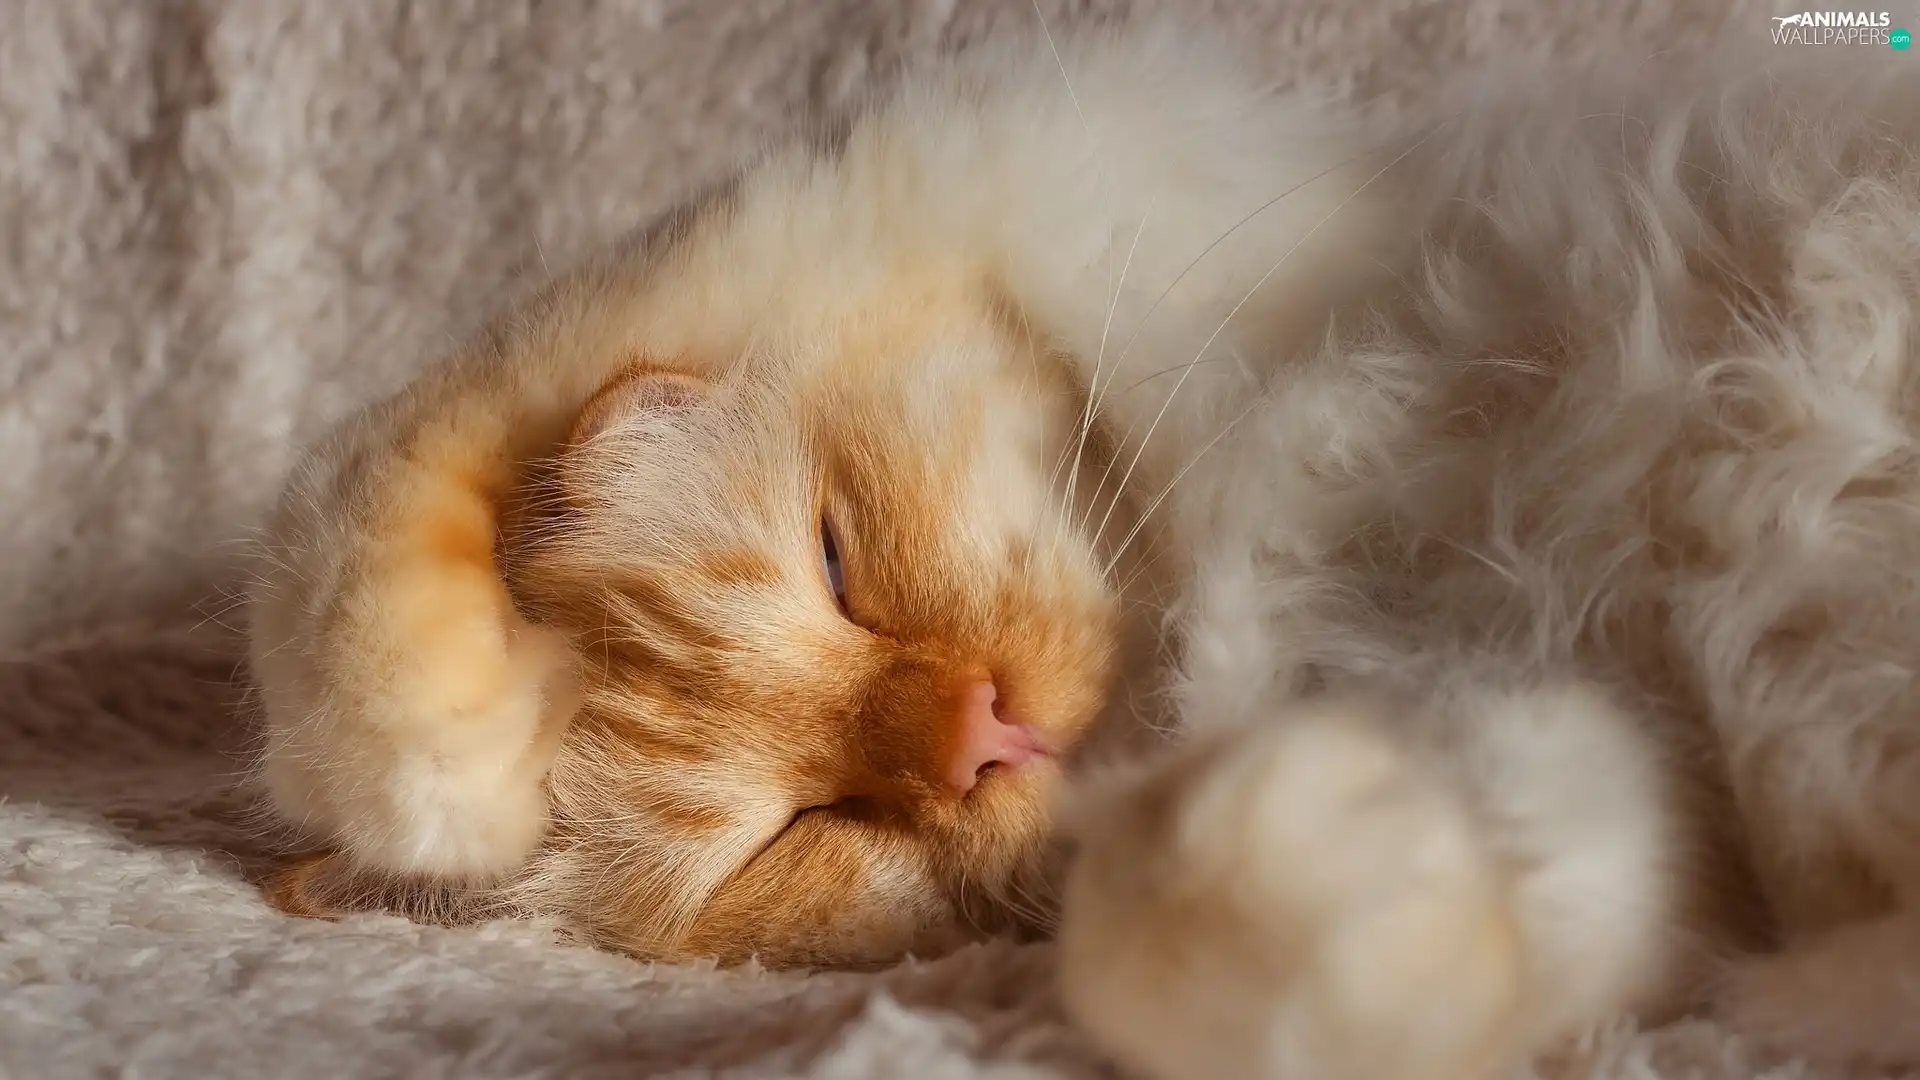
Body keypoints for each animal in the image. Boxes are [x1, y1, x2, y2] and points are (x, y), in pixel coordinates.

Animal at [247, 18, 1920, 1076]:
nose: (979, 734)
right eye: (793, 835)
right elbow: (1181, 942)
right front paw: (1359, 854)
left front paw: (452, 754)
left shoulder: (1006, 162)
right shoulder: (1648, 793)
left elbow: (376, 501)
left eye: (839, 563)